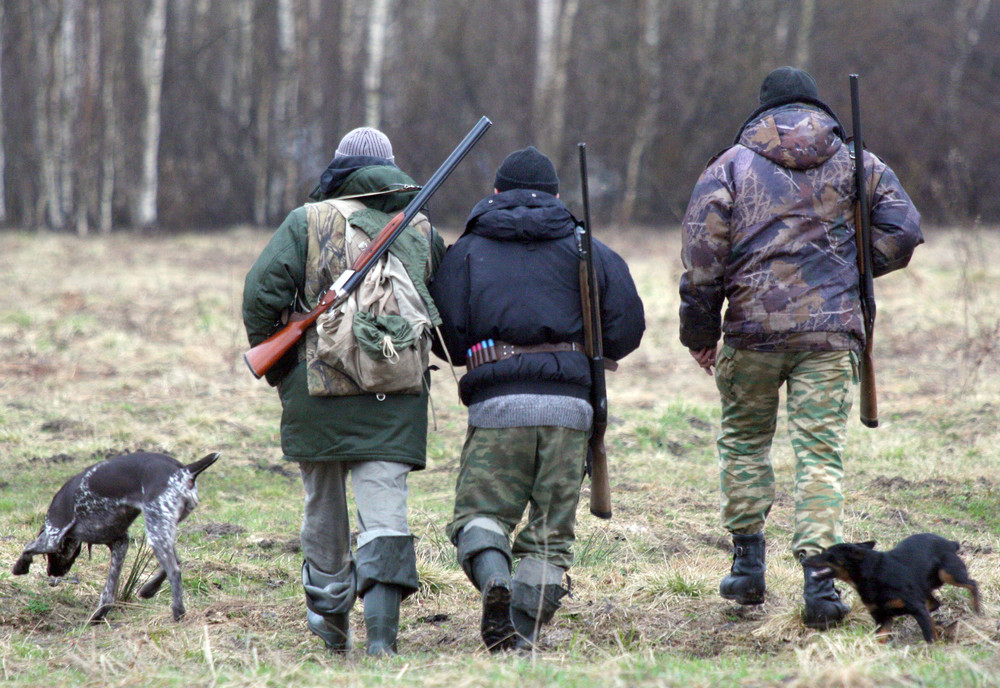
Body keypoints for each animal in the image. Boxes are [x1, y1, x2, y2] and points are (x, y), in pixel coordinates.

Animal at [12, 452, 219, 624]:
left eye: (50, 557)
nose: (52, 573)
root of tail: (185, 471)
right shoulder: (120, 543)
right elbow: (109, 590)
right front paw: (100, 614)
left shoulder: (52, 535)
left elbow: (28, 547)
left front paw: (20, 566)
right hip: (162, 528)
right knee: (176, 562)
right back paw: (149, 589)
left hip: (156, 530)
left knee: (174, 571)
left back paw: (178, 611)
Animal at [800, 536, 980, 644]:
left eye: (829, 555)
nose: (803, 560)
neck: (873, 573)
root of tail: (950, 543)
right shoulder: (881, 617)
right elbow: (880, 638)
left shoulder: (917, 608)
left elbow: (929, 635)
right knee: (934, 603)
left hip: (949, 574)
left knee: (973, 584)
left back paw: (978, 610)